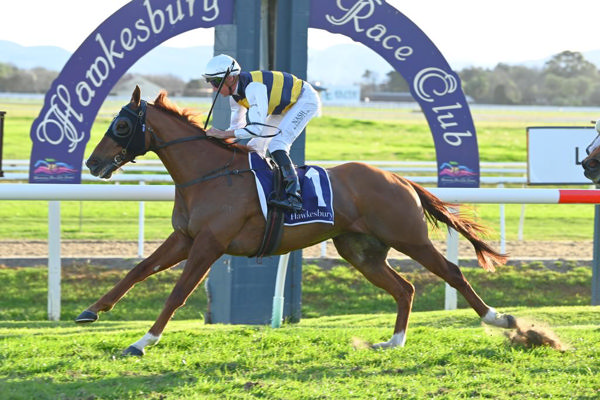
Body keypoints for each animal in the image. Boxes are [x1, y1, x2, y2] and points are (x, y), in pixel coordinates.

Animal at [77, 86, 516, 354]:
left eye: (121, 125)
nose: (93, 163)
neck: (210, 174)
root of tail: (399, 178)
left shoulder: (209, 244)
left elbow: (178, 292)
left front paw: (143, 341)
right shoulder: (185, 238)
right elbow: (138, 270)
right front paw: (91, 311)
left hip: (410, 237)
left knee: (452, 273)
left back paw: (499, 318)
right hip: (361, 252)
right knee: (404, 288)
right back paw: (393, 342)